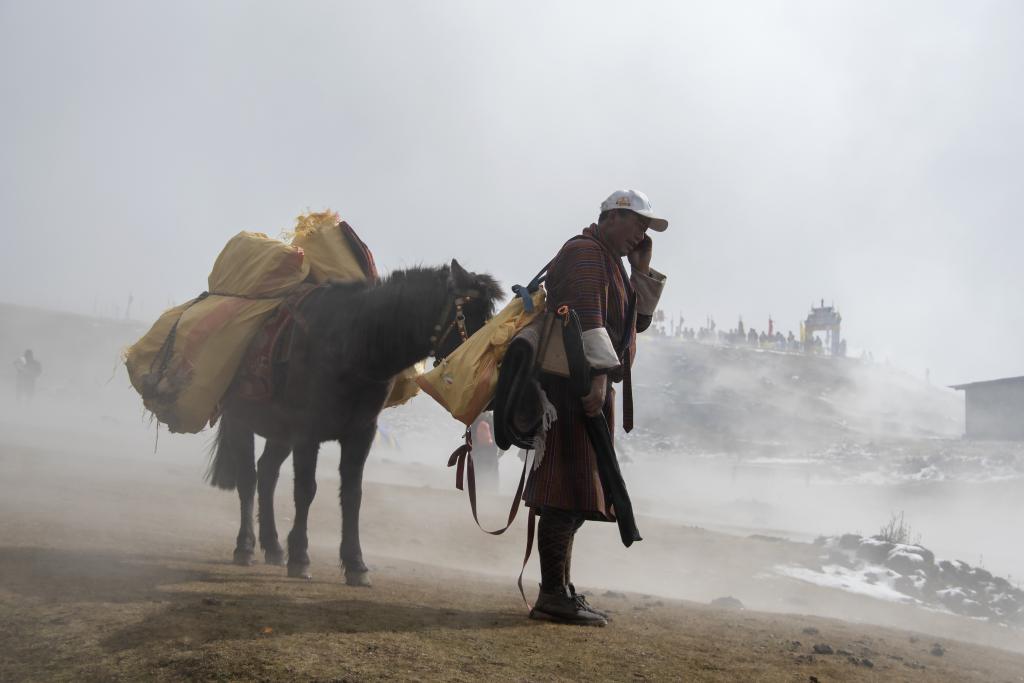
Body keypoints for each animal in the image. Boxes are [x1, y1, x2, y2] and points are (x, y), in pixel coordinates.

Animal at [205, 262, 501, 589]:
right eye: (470, 315)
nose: (491, 388)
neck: (351, 344)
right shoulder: (307, 434)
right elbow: (306, 490)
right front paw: (301, 557)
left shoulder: (361, 434)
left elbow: (352, 495)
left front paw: (355, 564)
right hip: (240, 420)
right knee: (248, 478)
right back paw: (245, 546)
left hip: (280, 434)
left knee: (267, 473)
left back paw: (272, 546)